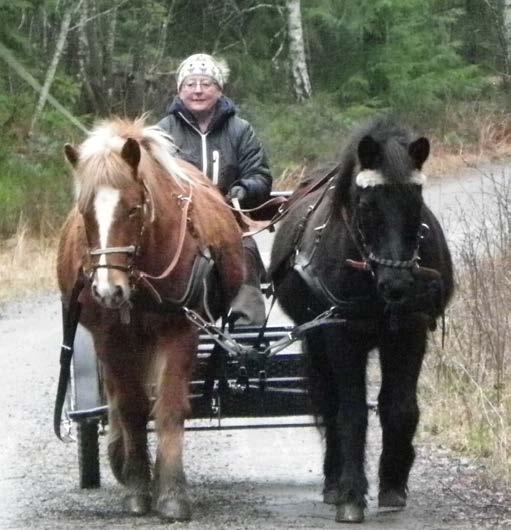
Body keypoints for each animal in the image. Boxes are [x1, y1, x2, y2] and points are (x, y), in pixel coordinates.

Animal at [57, 117, 245, 516]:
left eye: (132, 209)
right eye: (84, 212)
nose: (108, 291)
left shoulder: (180, 329)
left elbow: (169, 407)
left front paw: (171, 491)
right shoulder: (112, 338)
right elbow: (131, 407)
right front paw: (138, 487)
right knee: (116, 398)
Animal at [270, 117, 454, 520]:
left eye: (416, 201)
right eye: (368, 205)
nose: (397, 285)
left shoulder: (410, 333)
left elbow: (399, 407)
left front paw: (393, 483)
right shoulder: (342, 335)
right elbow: (351, 413)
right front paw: (352, 494)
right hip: (316, 340)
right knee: (329, 403)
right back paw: (333, 482)